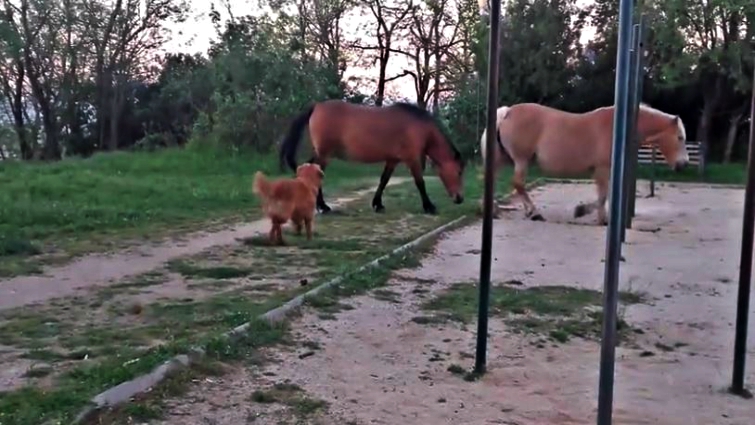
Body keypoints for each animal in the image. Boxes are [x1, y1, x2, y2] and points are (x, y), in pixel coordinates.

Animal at [279, 99, 466, 215]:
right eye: (458, 172)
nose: (460, 199)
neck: (420, 127)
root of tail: (317, 106)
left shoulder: (392, 159)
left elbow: (384, 180)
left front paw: (378, 204)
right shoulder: (412, 159)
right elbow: (420, 183)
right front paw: (429, 207)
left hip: (323, 154)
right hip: (325, 154)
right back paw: (322, 206)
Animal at [480, 102, 689, 225]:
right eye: (680, 137)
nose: (683, 164)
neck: (616, 127)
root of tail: (507, 112)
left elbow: (605, 195)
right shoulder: (602, 169)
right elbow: (603, 196)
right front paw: (590, 215)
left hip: (503, 159)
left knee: (494, 180)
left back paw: (496, 211)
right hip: (521, 160)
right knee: (518, 184)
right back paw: (534, 212)